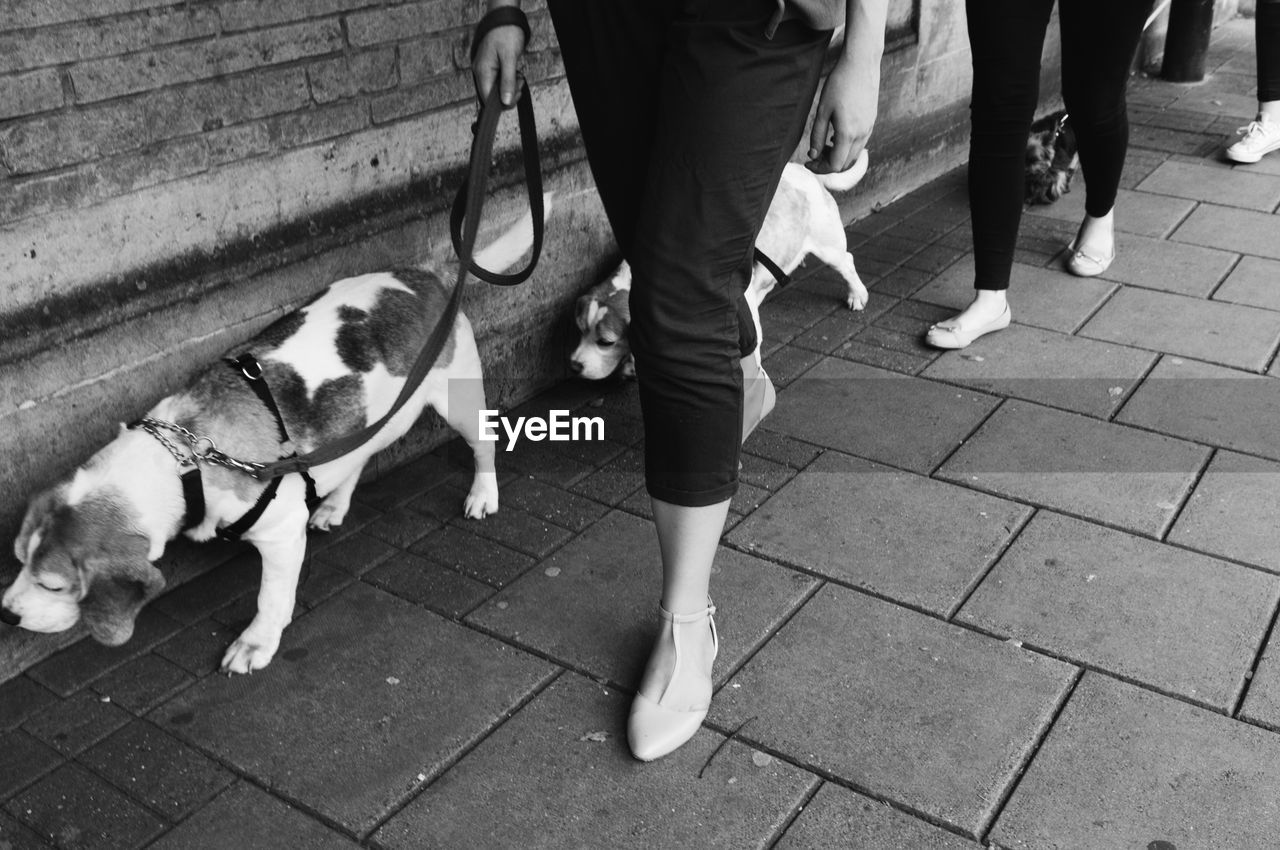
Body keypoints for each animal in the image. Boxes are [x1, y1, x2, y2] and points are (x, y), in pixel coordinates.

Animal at [0, 204, 545, 670]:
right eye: (19, 560)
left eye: (54, 586)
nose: (6, 614)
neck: (183, 459)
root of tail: (430, 275)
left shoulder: (281, 534)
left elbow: (270, 597)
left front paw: (256, 644)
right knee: (358, 455)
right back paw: (333, 505)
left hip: (460, 399)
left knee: (483, 445)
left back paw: (483, 495)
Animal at [570, 153, 870, 381]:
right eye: (580, 331)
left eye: (605, 341)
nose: (573, 366)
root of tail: (804, 171)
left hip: (829, 247)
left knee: (848, 263)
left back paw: (857, 295)